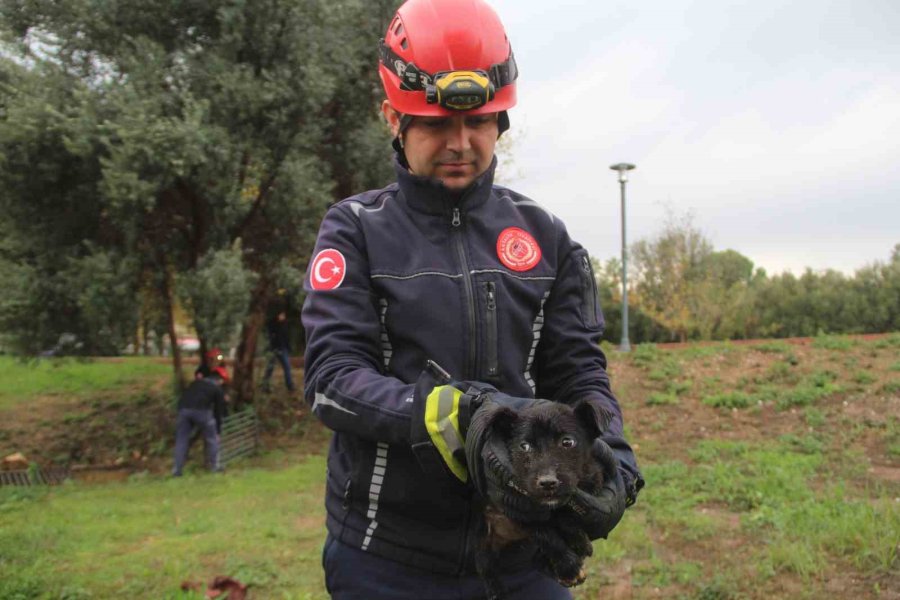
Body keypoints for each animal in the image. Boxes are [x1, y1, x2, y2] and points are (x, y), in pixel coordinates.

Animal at [472, 398, 612, 600]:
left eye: (567, 442)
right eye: (524, 446)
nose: (547, 483)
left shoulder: (592, 485)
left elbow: (568, 515)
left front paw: (579, 542)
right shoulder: (516, 509)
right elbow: (547, 535)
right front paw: (570, 566)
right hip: (483, 539)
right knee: (485, 567)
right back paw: (496, 591)